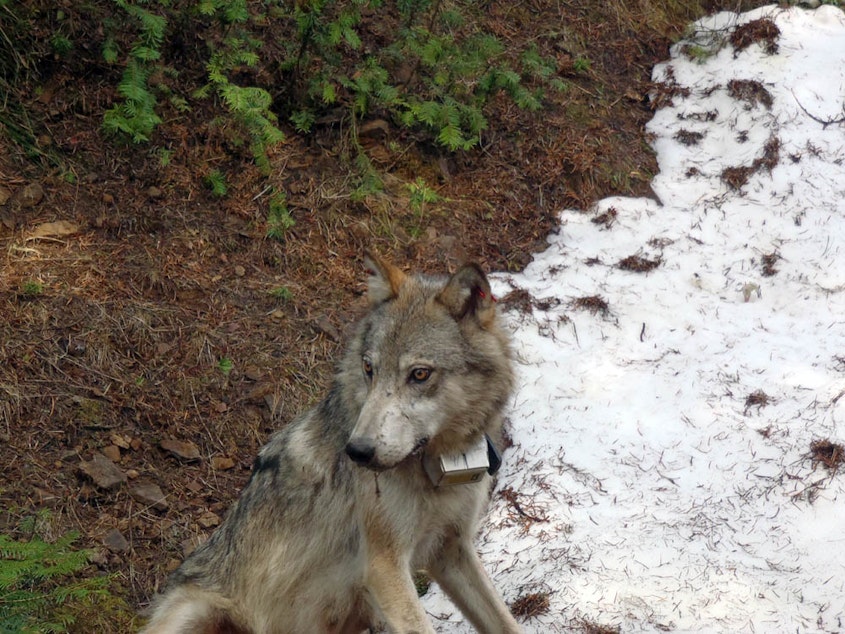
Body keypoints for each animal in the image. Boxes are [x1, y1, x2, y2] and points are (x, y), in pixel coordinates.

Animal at [140, 252, 520, 632]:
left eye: (420, 374)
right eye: (369, 369)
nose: (357, 451)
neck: (438, 469)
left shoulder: (452, 551)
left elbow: (505, 622)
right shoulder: (384, 565)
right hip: (193, 612)